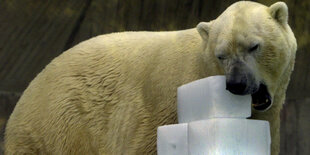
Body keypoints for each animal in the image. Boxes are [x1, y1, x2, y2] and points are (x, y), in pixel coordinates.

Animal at [4, 1, 296, 155]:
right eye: (221, 55)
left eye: (254, 46)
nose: (237, 84)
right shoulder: (160, 110)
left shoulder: (267, 117)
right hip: (62, 124)